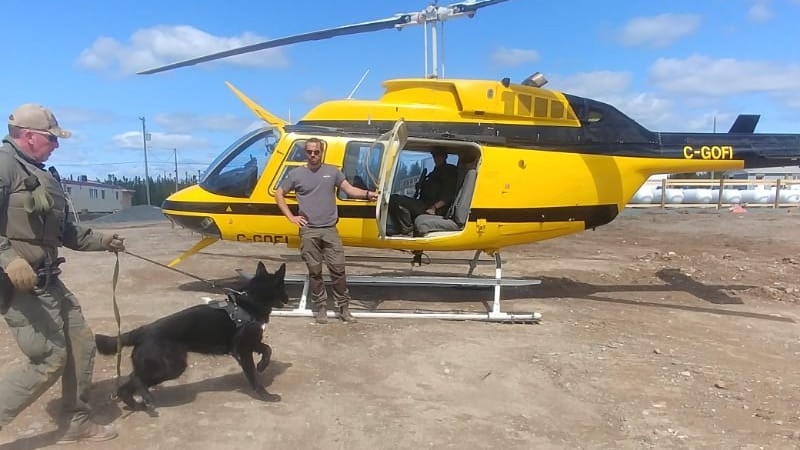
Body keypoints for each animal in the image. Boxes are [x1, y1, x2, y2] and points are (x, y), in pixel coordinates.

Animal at [95, 260, 288, 412]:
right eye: (283, 286)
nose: (288, 299)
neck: (251, 300)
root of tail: (143, 331)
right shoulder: (243, 350)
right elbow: (254, 376)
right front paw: (265, 395)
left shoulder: (251, 343)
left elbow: (267, 349)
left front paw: (262, 365)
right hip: (172, 367)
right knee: (136, 378)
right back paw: (146, 398)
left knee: (126, 386)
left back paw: (138, 405)